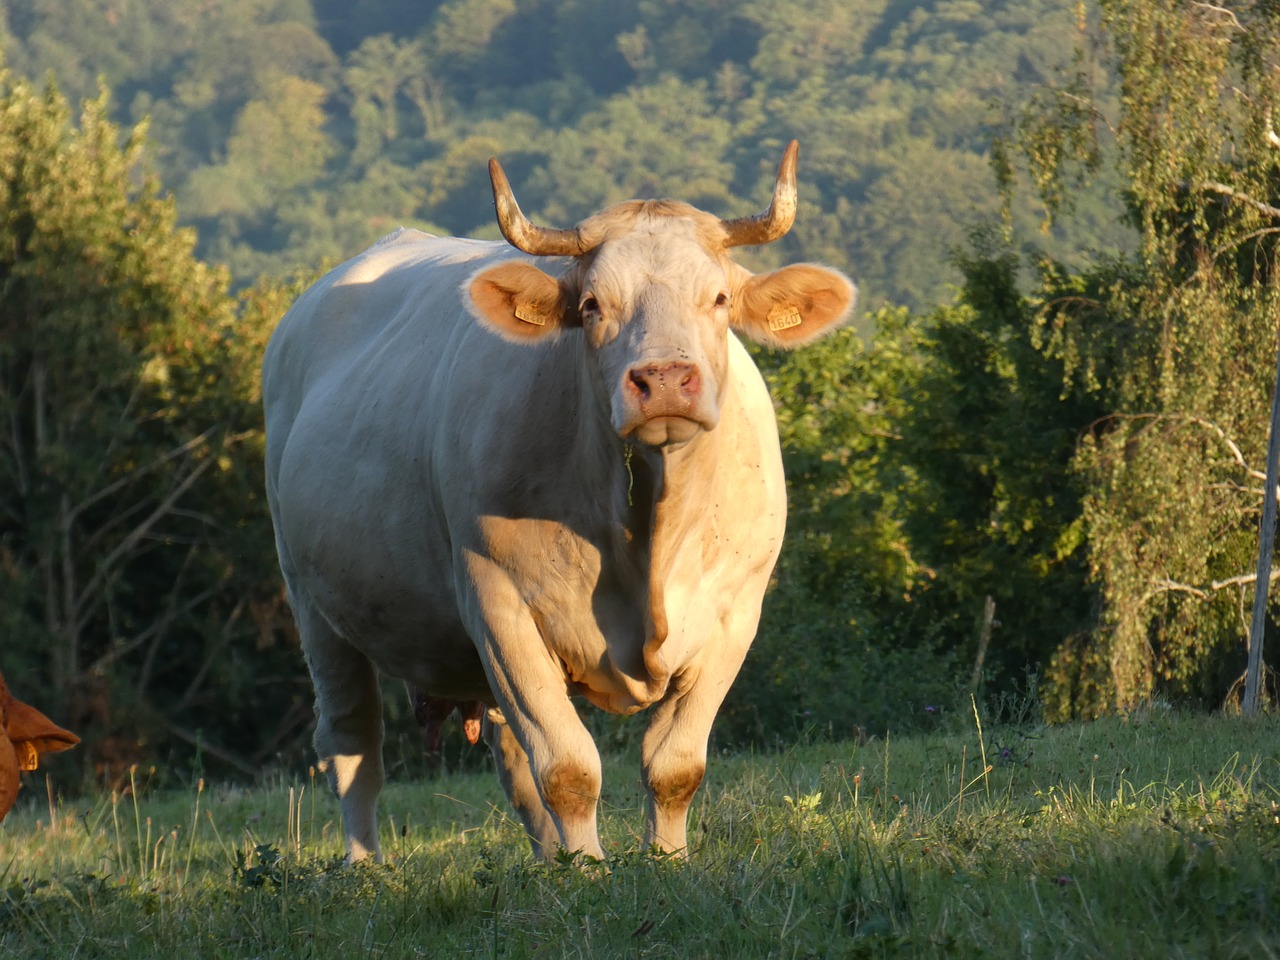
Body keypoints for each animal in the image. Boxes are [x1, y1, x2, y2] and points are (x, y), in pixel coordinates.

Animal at [263, 140, 855, 865]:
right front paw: (590, 871)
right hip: (311, 599)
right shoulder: (500, 605)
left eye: (718, 298)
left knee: (510, 762)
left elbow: (673, 766)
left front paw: (665, 862)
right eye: (594, 304)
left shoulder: (734, 614)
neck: (646, 529)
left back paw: (549, 860)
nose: (663, 379)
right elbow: (569, 769)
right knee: (351, 746)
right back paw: (366, 866)